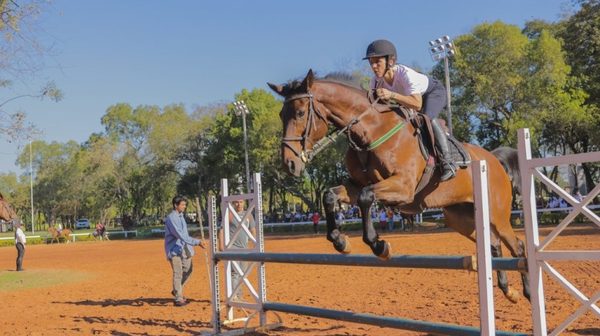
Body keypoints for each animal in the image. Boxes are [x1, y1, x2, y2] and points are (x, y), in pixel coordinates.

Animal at [268, 69, 528, 304]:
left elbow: (366, 198)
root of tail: (494, 160)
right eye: (281, 114)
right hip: (461, 218)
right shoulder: (355, 185)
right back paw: (508, 290)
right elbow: (329, 195)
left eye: (300, 113)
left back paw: (526, 292)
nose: (289, 164)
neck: (370, 131)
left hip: (497, 215)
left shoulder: (403, 187)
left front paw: (378, 245)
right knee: (493, 245)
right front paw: (340, 241)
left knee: (518, 246)